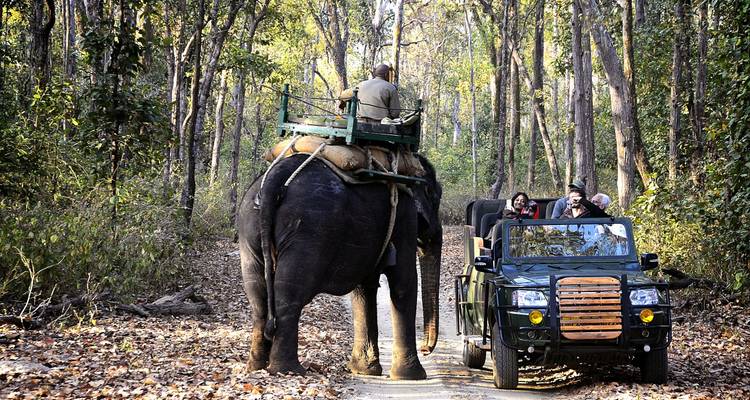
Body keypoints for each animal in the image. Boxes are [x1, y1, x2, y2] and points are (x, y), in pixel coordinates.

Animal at [237, 153, 442, 380]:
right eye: (437, 198)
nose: (426, 349)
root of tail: (275, 177)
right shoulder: (405, 216)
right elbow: (404, 281)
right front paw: (412, 376)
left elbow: (365, 288)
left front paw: (363, 370)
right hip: (309, 230)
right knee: (288, 295)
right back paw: (289, 371)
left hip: (249, 228)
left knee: (258, 296)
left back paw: (256, 366)